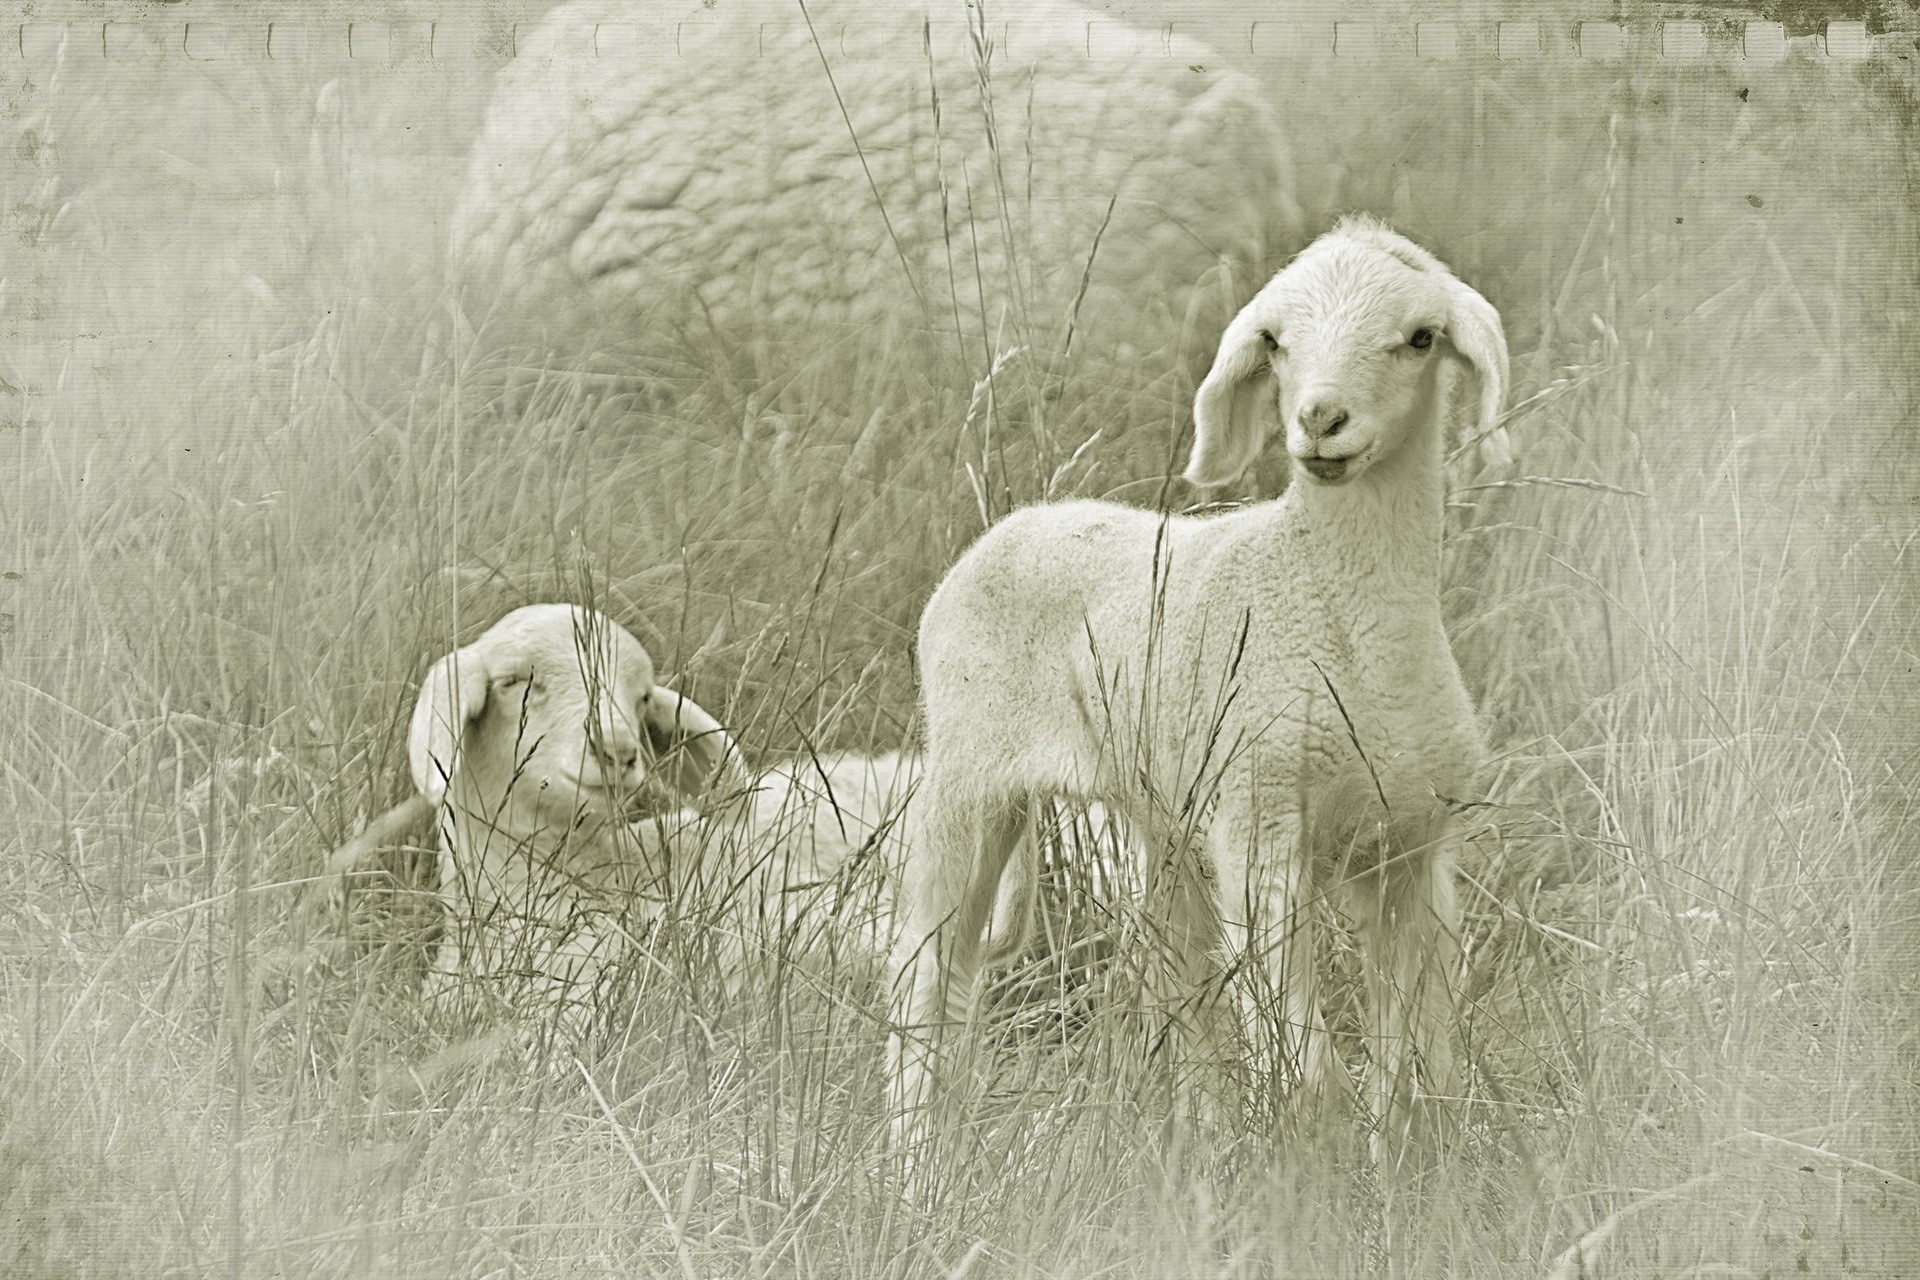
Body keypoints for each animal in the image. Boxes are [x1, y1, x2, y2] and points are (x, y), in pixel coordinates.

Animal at [888, 216, 1507, 1160]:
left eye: (1420, 338)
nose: (1319, 420)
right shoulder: (1262, 828)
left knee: (1174, 978)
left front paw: (1407, 1170)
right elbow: (1311, 1062)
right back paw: (916, 1157)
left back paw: (1193, 1140)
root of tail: (1017, 522)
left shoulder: (1413, 849)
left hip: (1164, 819)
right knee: (932, 971)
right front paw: (1317, 1167)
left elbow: (1416, 1059)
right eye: (1276, 342)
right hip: (969, 777)